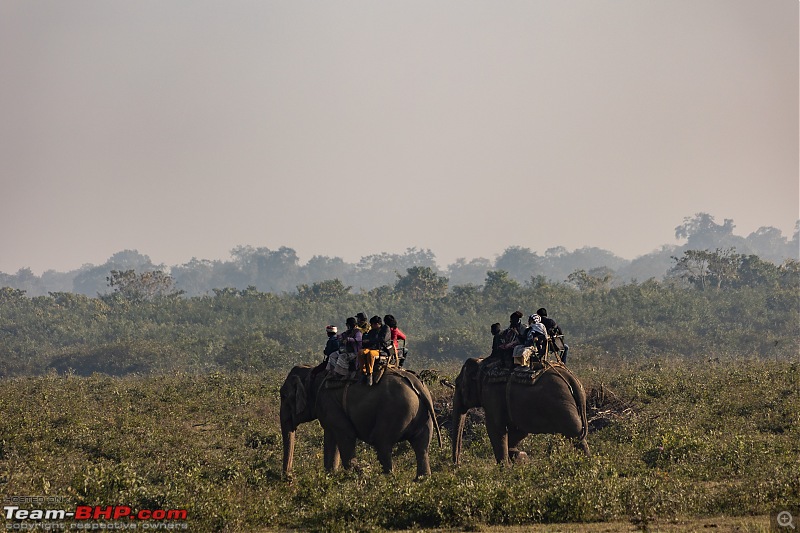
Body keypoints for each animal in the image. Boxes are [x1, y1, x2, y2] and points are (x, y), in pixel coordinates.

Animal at [280, 364, 444, 480]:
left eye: (284, 396)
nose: (289, 478)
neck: (312, 371)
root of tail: (417, 383)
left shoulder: (328, 402)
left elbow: (346, 436)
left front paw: (360, 474)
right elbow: (331, 439)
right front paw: (330, 476)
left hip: (394, 410)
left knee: (382, 443)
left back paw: (386, 480)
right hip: (424, 415)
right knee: (422, 446)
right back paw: (421, 480)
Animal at [454, 358, 592, 466]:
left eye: (457, 384)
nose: (457, 465)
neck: (483, 363)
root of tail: (571, 378)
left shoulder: (491, 395)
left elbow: (495, 429)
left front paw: (505, 469)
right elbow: (519, 430)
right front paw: (520, 457)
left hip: (561, 403)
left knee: (575, 433)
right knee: (578, 435)